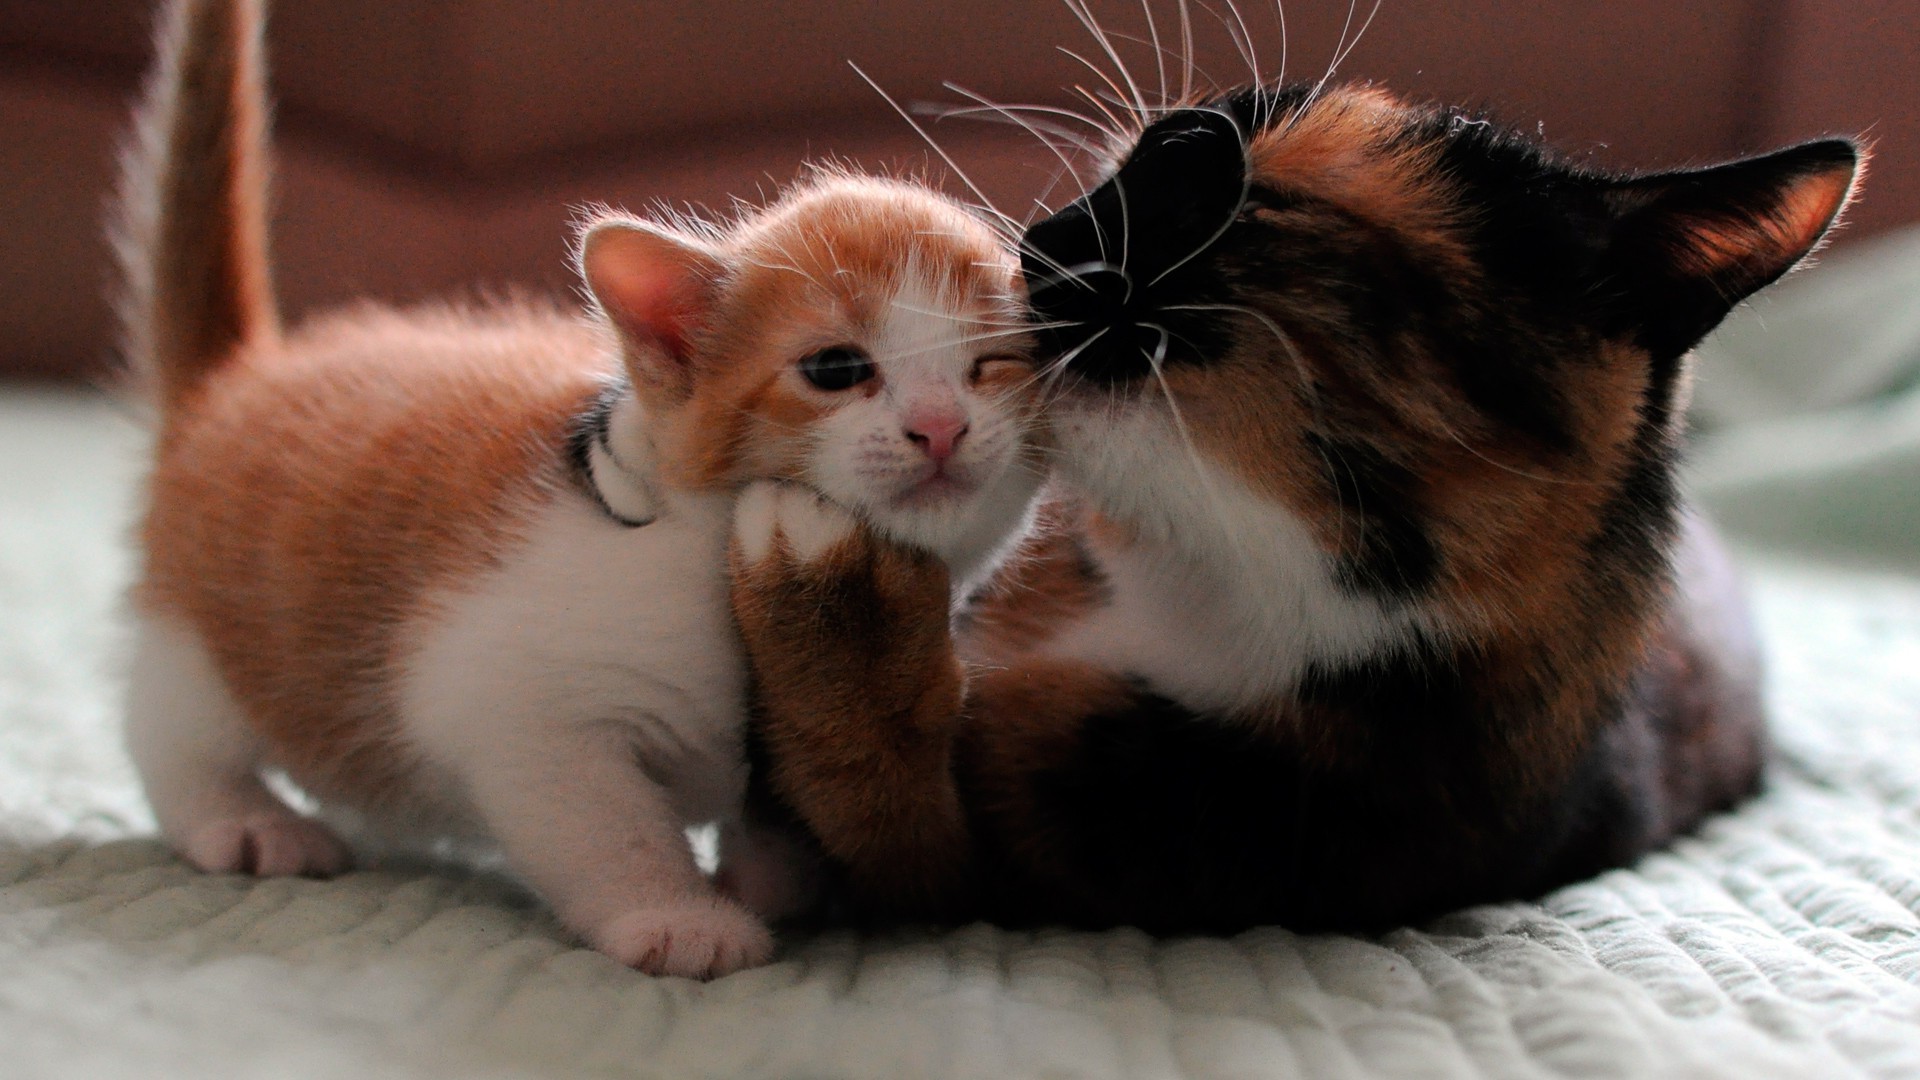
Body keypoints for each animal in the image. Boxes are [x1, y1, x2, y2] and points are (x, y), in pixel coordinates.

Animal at [116, 0, 1052, 976]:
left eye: (994, 365)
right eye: (835, 368)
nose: (941, 426)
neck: (710, 561)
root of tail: (242, 375)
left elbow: (787, 806)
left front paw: (764, 882)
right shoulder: (513, 699)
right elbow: (604, 820)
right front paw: (678, 917)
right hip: (204, 631)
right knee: (167, 726)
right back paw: (241, 819)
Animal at [721, 82, 1858, 926]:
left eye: (1251, 207)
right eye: (1142, 158)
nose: (1040, 245)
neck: (1207, 583)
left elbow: (886, 817)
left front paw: (826, 582)